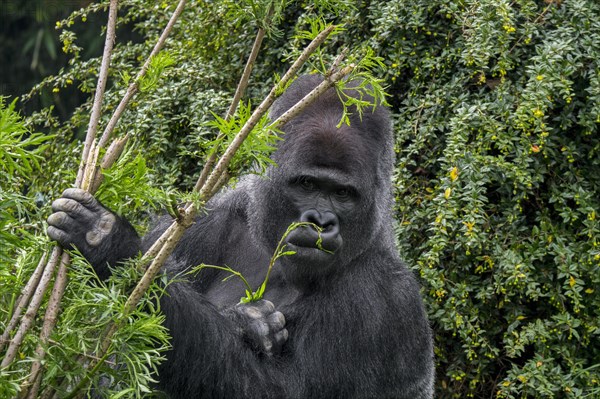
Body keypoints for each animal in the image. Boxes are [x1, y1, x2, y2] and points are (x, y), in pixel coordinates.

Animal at [47, 76, 432, 399]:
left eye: (343, 194)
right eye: (307, 184)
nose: (321, 222)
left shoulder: (384, 297)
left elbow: (275, 390)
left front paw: (111, 247)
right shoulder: (200, 220)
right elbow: (96, 353)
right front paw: (250, 323)